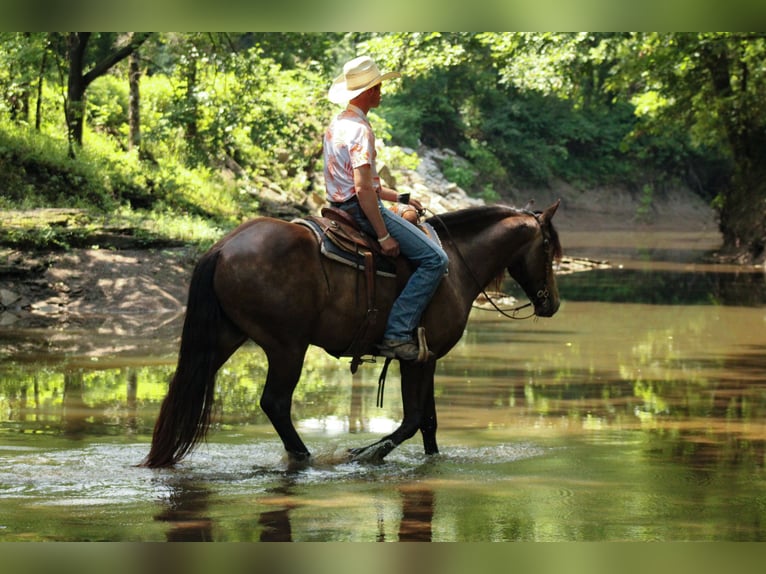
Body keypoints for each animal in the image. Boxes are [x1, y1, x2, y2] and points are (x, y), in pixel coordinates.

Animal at [141, 200, 562, 467]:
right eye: (547, 247)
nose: (553, 304)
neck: (455, 266)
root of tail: (224, 246)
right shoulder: (419, 359)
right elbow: (413, 420)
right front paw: (366, 454)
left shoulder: (426, 359)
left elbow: (428, 422)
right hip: (286, 347)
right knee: (275, 403)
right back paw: (307, 458)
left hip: (224, 338)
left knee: (187, 387)